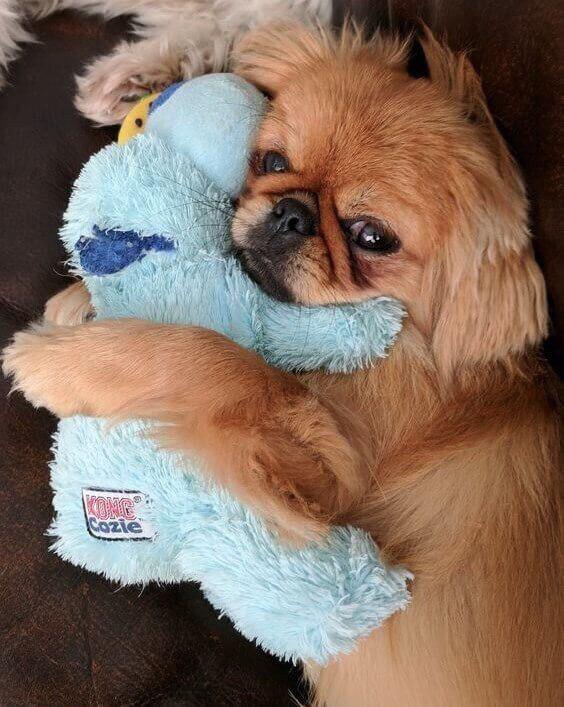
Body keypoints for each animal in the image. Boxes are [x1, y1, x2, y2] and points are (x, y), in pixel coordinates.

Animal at [2, 23, 560, 707]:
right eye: (271, 162)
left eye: (373, 238)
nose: (292, 213)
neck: (411, 346)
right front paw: (79, 302)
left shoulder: (332, 474)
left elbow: (222, 361)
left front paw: (64, 361)